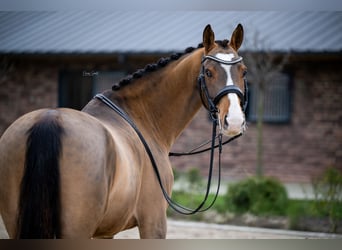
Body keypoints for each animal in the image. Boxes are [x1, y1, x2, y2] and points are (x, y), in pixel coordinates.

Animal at [0, 23, 247, 238]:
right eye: (208, 72)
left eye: (243, 72)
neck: (141, 117)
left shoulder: (105, 233)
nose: (234, 121)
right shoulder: (154, 223)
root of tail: (49, 119)